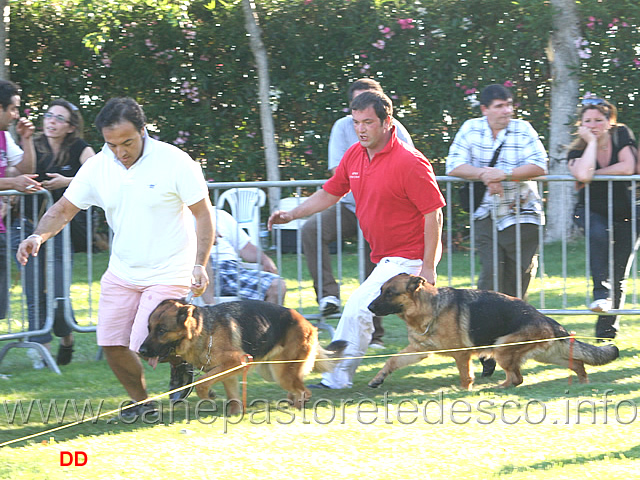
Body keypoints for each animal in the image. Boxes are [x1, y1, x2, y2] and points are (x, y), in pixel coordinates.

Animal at [139, 300, 344, 412]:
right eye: (149, 328)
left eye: (162, 330)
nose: (141, 351)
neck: (203, 331)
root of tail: (310, 324)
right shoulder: (228, 371)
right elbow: (232, 396)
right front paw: (235, 414)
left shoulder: (235, 361)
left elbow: (202, 382)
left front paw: (208, 396)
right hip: (272, 371)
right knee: (298, 387)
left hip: (280, 372)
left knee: (304, 391)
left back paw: (296, 411)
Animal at [368, 274, 616, 390]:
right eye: (380, 290)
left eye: (389, 293)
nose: (369, 307)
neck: (429, 307)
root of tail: (546, 318)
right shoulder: (418, 350)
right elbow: (392, 360)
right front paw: (378, 378)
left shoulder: (461, 354)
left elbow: (465, 375)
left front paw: (464, 392)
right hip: (545, 355)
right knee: (576, 363)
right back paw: (583, 382)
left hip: (502, 348)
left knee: (517, 378)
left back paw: (498, 387)